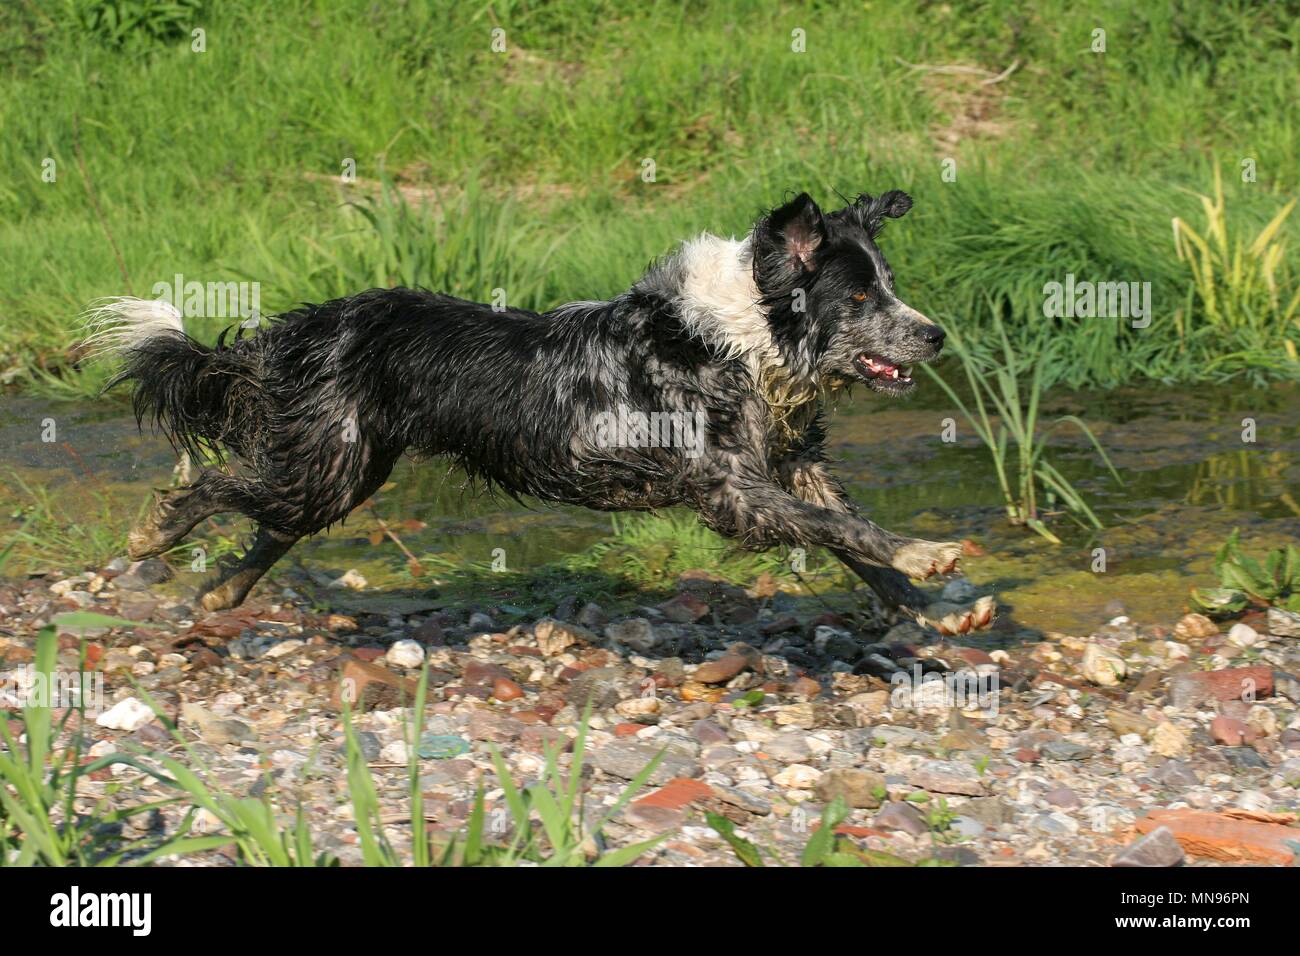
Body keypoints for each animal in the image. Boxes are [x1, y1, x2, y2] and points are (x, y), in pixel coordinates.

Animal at [83, 189, 993, 632]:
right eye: (861, 296)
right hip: (329, 463)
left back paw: (220, 594)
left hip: (345, 469)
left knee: (272, 522)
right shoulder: (730, 491)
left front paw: (935, 610)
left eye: (891, 284)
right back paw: (155, 533)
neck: (745, 337)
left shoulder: (793, 463)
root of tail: (302, 325)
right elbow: (846, 530)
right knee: (220, 486)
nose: (936, 334)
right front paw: (929, 557)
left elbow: (852, 536)